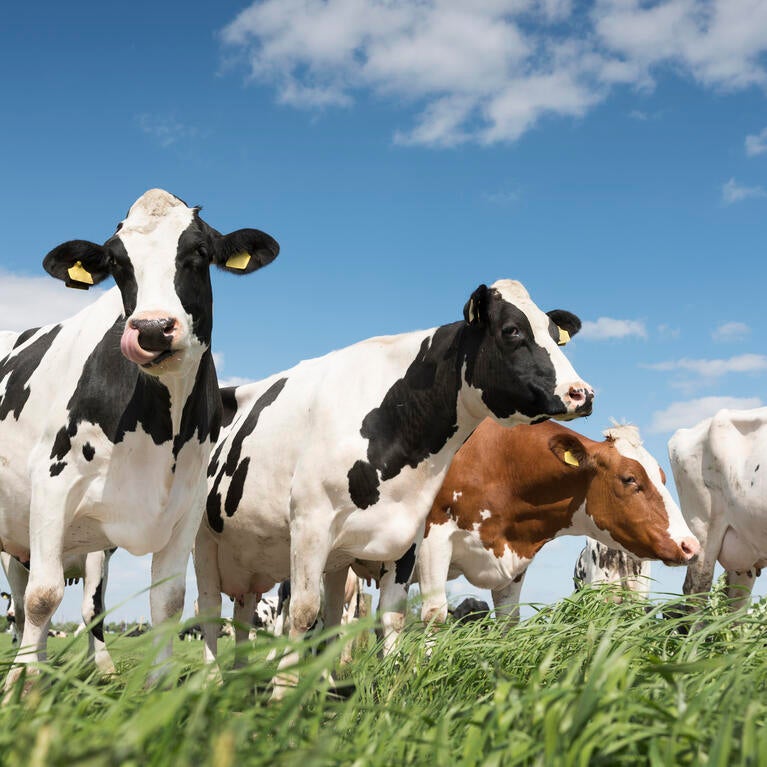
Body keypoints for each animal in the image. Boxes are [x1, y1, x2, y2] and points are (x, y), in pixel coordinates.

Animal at [0, 189, 278, 688]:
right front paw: (27, 686)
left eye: (199, 252)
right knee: (20, 598)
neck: (159, 430)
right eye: (116, 261)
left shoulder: (186, 505)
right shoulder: (52, 485)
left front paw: (160, 686)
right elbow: (42, 597)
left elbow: (168, 601)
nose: (151, 329)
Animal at [194, 277, 594, 691]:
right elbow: (304, 612)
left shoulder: (407, 535)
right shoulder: (309, 523)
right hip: (203, 538)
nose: (582, 393)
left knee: (258, 612)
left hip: (268, 559)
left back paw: (247, 681)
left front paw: (389, 687)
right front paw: (282, 693)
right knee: (209, 610)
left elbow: (391, 617)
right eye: (512, 330)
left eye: (556, 336)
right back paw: (211, 681)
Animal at [415, 421, 699, 628]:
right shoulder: (434, 538)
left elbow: (508, 621)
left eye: (663, 478)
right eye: (629, 478)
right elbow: (434, 614)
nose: (690, 545)